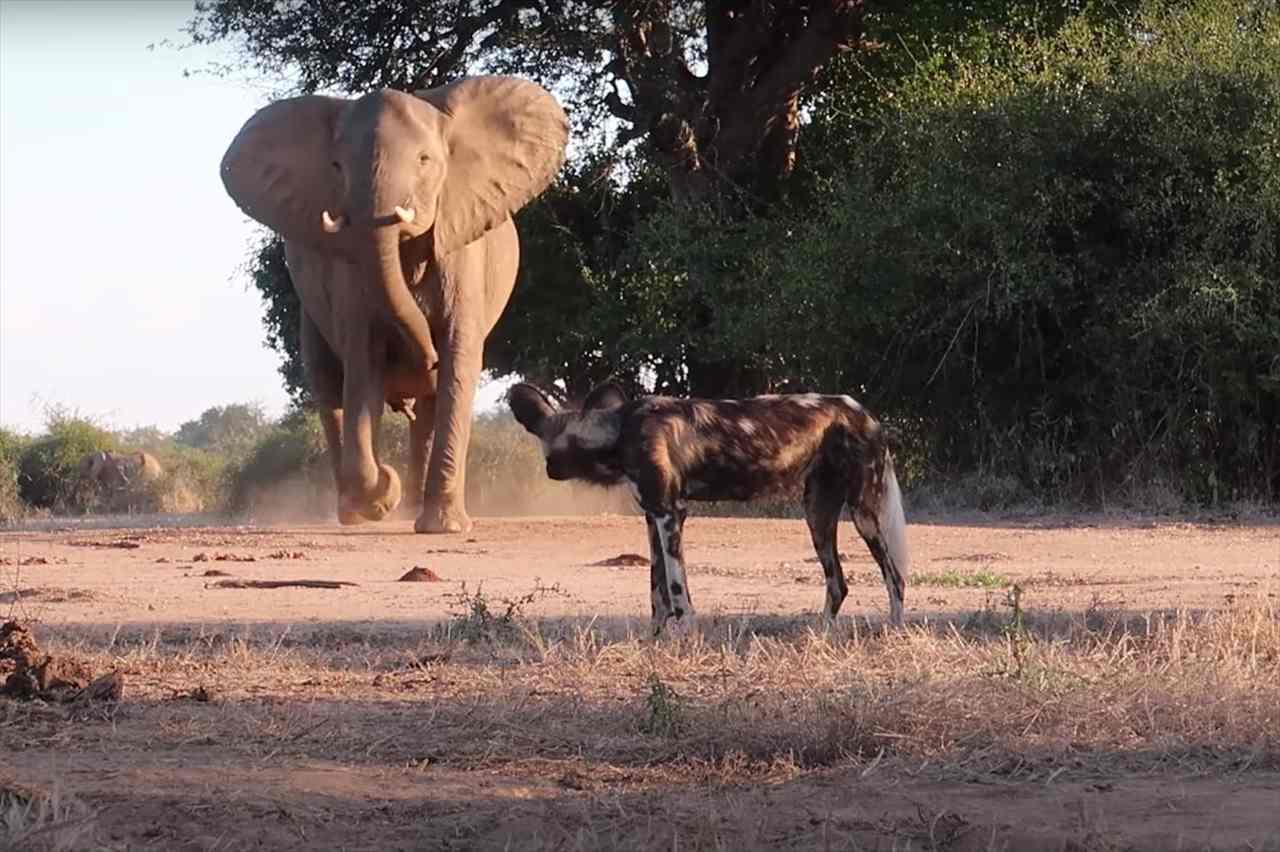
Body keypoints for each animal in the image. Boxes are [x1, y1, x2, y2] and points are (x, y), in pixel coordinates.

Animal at [220, 78, 570, 532]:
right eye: (336, 166)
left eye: (424, 160)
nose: (424, 358)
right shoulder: (351, 273)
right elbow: (363, 363)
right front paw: (384, 493)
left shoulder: (462, 253)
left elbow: (457, 362)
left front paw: (444, 527)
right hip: (308, 311)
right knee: (328, 386)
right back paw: (355, 513)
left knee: (427, 405)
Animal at [509, 378, 911, 629]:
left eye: (550, 444)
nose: (550, 471)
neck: (619, 430)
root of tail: (863, 412)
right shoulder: (653, 518)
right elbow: (656, 594)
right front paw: (656, 644)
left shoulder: (670, 514)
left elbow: (677, 593)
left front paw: (687, 639)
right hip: (816, 514)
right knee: (838, 583)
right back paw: (820, 635)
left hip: (865, 515)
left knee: (896, 578)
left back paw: (892, 632)